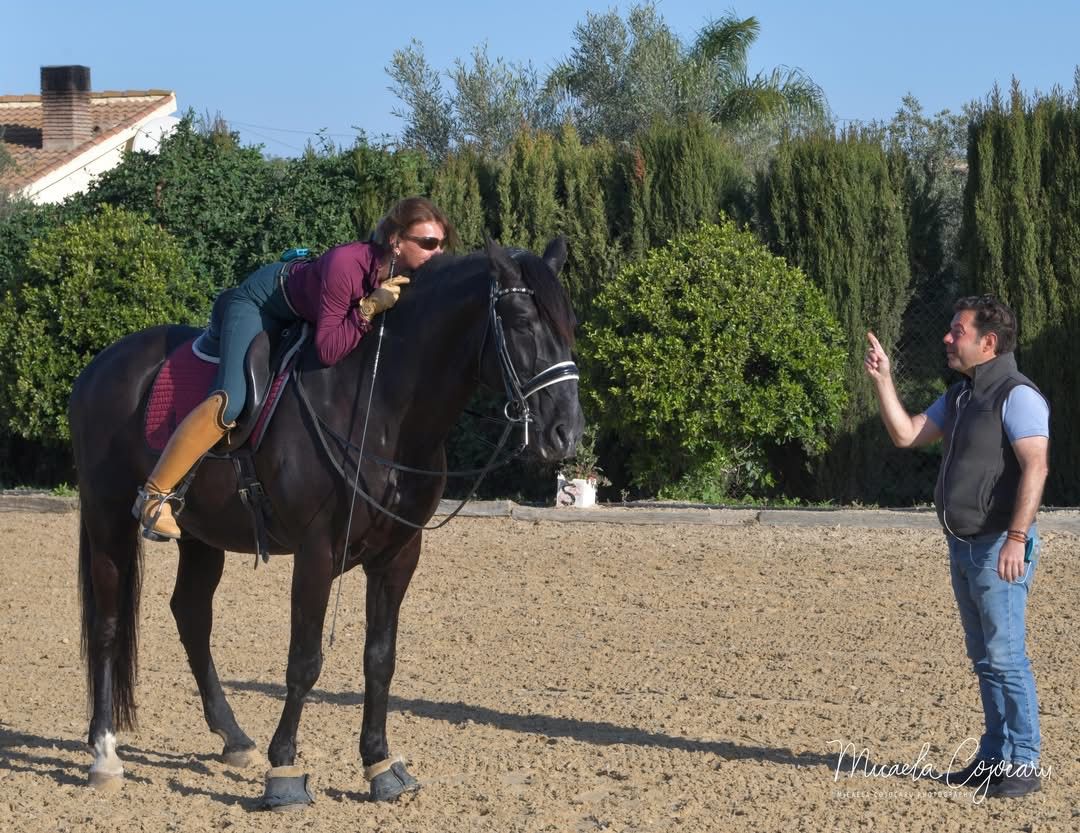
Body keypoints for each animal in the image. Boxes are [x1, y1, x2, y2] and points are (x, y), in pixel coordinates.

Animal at [69, 239, 583, 808]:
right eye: (520, 321)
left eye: (569, 324)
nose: (566, 433)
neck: (380, 406)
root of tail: (99, 367)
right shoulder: (317, 554)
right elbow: (304, 660)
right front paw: (285, 772)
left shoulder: (397, 556)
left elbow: (380, 658)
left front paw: (380, 763)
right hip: (108, 519)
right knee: (107, 623)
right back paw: (104, 753)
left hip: (202, 537)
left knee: (192, 616)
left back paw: (233, 737)